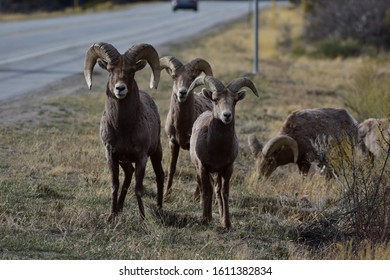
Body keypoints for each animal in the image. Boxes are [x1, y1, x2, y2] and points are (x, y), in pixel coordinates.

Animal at [84, 42, 165, 221]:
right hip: (124, 161)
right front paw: (110, 216)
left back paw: (159, 209)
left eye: (132, 70)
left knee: (160, 175)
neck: (122, 128)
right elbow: (115, 185)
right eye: (110, 70)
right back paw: (119, 210)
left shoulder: (142, 157)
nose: (120, 89)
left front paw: (142, 219)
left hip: (156, 152)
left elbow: (138, 188)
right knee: (128, 174)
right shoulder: (111, 155)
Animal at [159, 55, 213, 199]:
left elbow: (197, 171)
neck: (181, 126)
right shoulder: (173, 142)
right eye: (174, 76)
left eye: (192, 77)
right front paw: (166, 195)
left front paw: (196, 197)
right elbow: (172, 168)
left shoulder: (191, 146)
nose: (182, 93)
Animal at [189, 75, 258, 228]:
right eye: (215, 99)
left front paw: (226, 222)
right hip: (200, 169)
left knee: (217, 189)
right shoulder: (203, 167)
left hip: (218, 173)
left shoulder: (227, 168)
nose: (226, 115)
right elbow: (207, 191)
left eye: (234, 101)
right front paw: (206, 219)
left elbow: (224, 192)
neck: (217, 150)